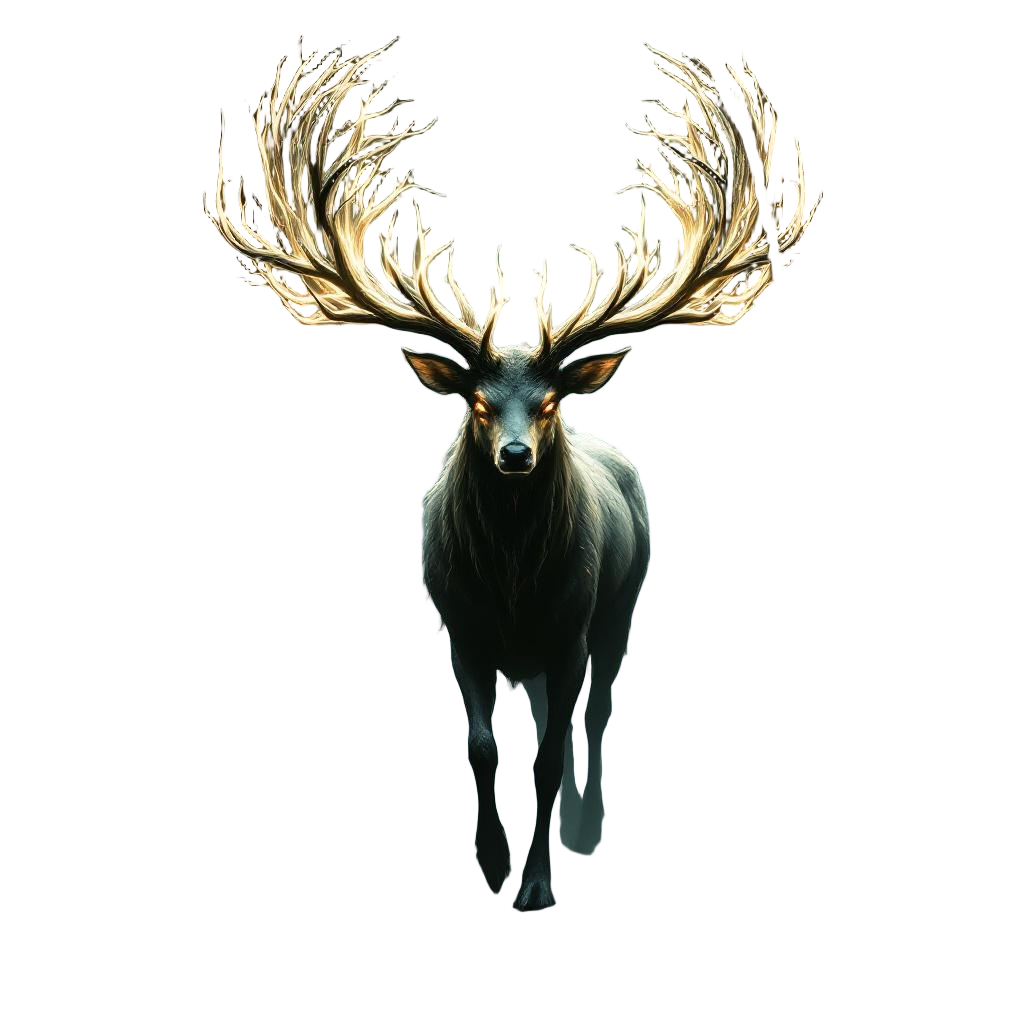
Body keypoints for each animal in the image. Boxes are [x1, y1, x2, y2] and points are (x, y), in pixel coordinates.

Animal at [199, 30, 825, 914]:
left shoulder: (571, 630)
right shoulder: (457, 625)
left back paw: (584, 829)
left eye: (552, 401)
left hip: (621, 604)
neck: (511, 580)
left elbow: (548, 750)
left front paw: (536, 884)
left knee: (597, 711)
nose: (517, 455)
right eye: (478, 403)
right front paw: (492, 865)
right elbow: (485, 746)